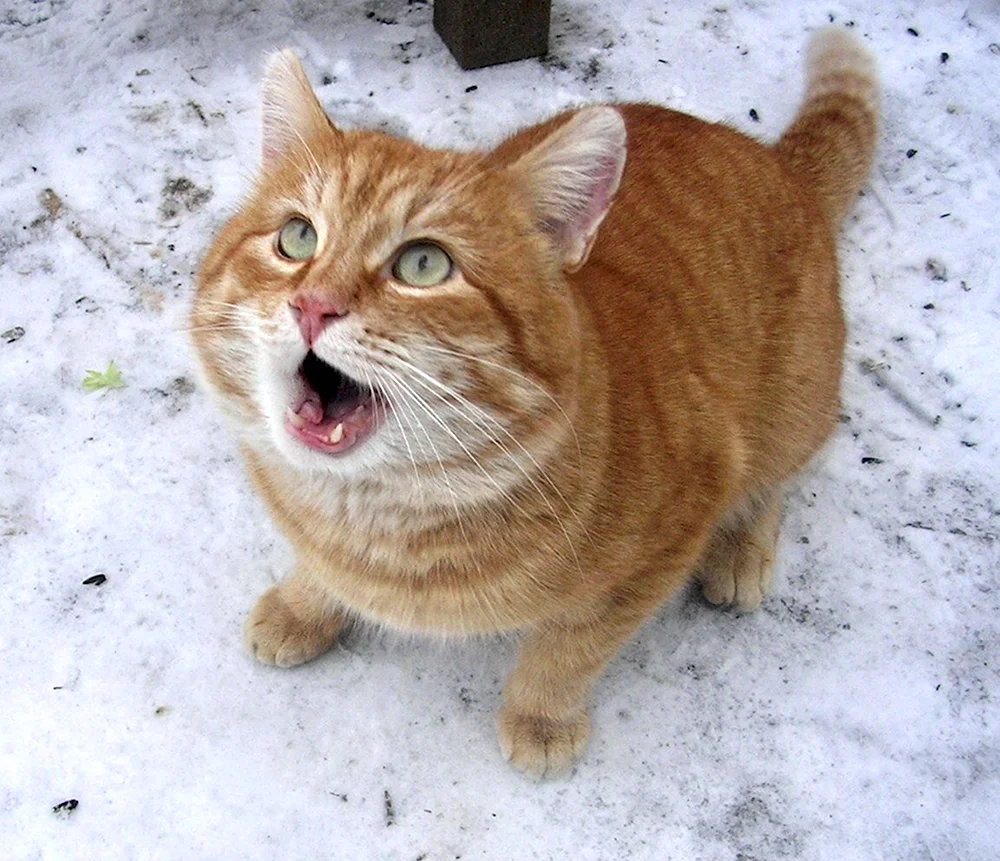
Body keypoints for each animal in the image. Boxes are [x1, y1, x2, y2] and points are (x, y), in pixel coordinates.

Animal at [191, 28, 880, 780]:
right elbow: (320, 574)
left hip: (793, 406)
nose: (312, 305)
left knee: (777, 479)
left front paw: (542, 718)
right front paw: (304, 604)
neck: (379, 516)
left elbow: (571, 647)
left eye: (424, 264)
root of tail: (775, 161)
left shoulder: (674, 525)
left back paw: (742, 548)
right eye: (297, 237)